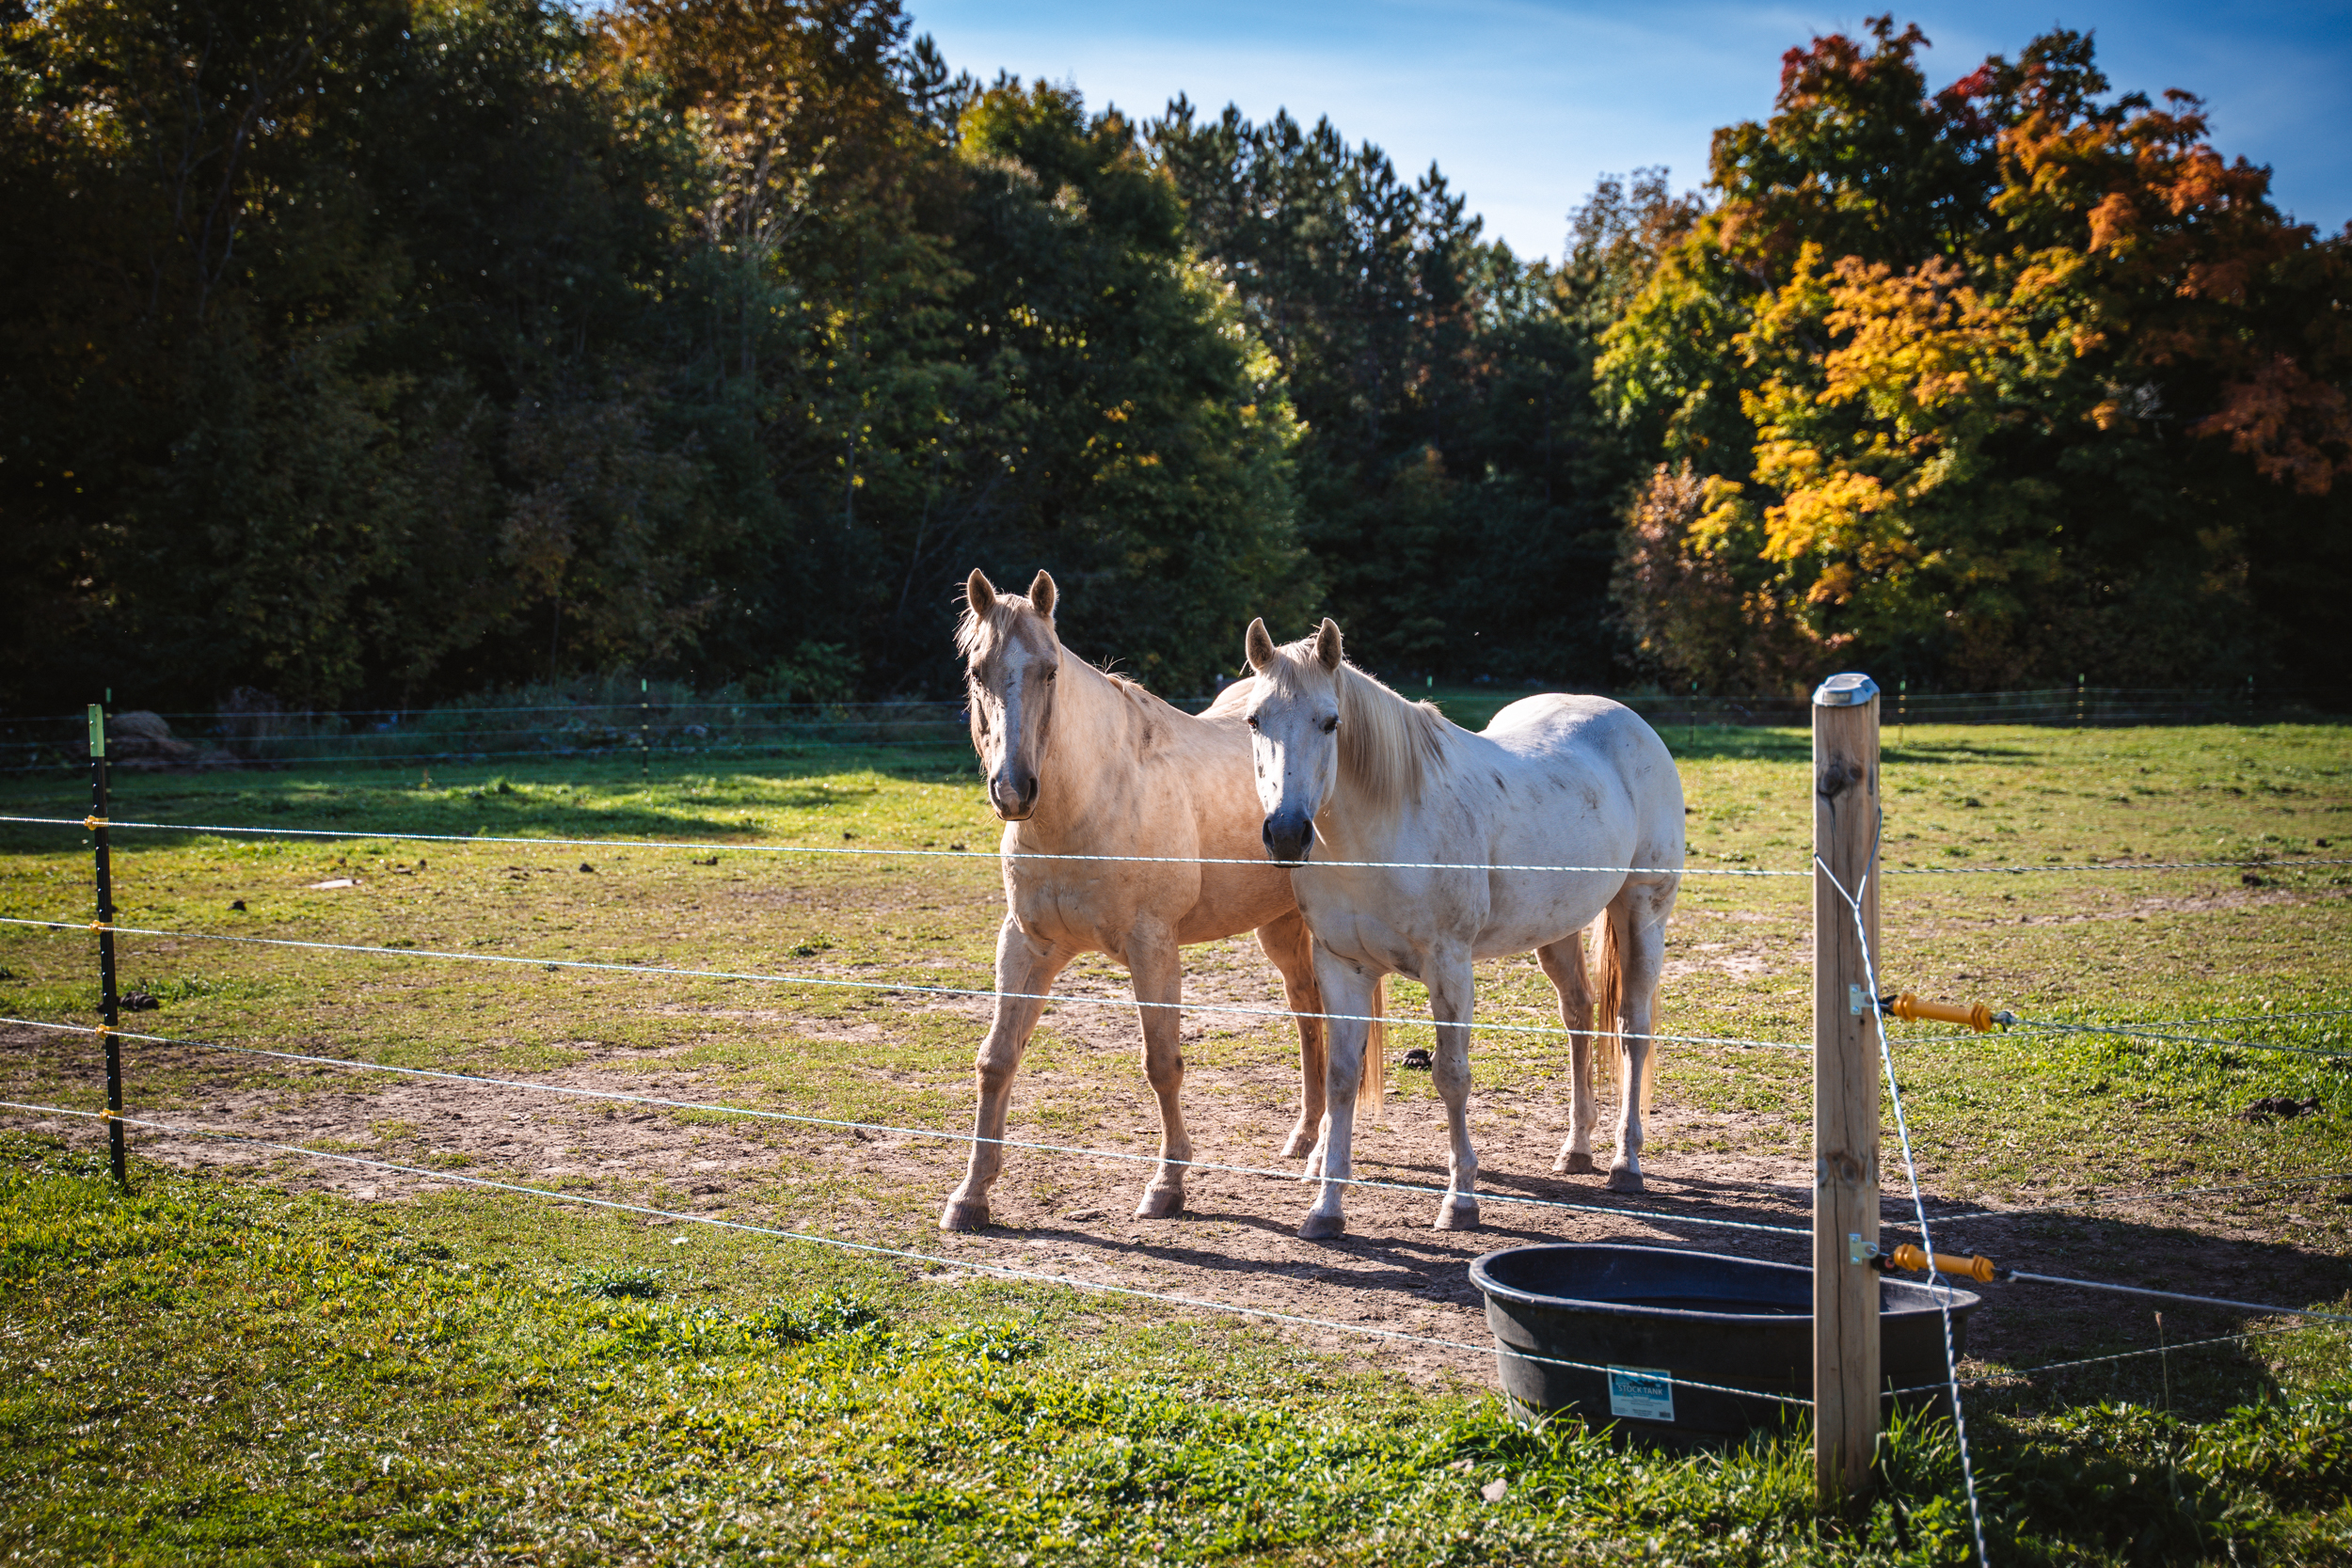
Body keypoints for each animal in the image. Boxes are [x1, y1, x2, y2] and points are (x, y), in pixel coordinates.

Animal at [941, 571, 1374, 1231]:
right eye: (976, 670)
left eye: (1049, 671)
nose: (1013, 790)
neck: (1090, 802)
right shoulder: (1026, 944)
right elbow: (996, 1060)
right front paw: (971, 1195)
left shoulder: (1152, 949)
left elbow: (1162, 1063)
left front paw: (1167, 1186)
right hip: (1279, 929)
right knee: (1308, 1016)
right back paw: (1303, 1138)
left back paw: (1321, 1150)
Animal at [1242, 610, 1684, 1241]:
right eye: (1255, 720)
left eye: (1330, 722)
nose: (1285, 834)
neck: (1387, 829)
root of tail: (1632, 724)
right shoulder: (1341, 966)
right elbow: (1342, 1077)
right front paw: (1326, 1209)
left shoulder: (1448, 968)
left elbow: (1451, 1075)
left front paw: (1461, 1202)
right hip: (1557, 930)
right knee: (1579, 1016)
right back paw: (1576, 1150)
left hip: (1642, 913)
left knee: (1632, 1030)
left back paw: (1626, 1164)